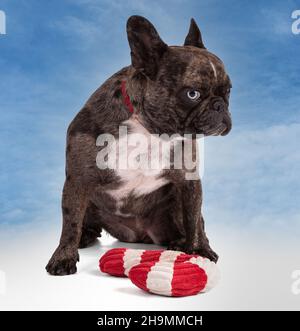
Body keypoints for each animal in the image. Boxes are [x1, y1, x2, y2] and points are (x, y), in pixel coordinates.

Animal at [45, 15, 232, 276]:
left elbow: (194, 219)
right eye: (192, 94)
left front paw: (198, 250)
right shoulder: (78, 181)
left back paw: (184, 242)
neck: (151, 131)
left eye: (228, 92)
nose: (219, 106)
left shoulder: (189, 182)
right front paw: (63, 257)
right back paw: (85, 236)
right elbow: (70, 222)